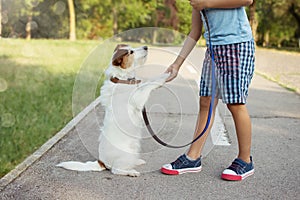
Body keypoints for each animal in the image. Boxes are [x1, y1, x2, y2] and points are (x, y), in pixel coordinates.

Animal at [56, 44, 169, 177]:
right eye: (131, 52)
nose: (146, 47)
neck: (123, 79)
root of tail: (102, 162)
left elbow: (148, 82)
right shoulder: (139, 99)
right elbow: (149, 85)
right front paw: (164, 77)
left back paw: (137, 161)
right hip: (126, 155)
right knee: (117, 170)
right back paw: (131, 172)